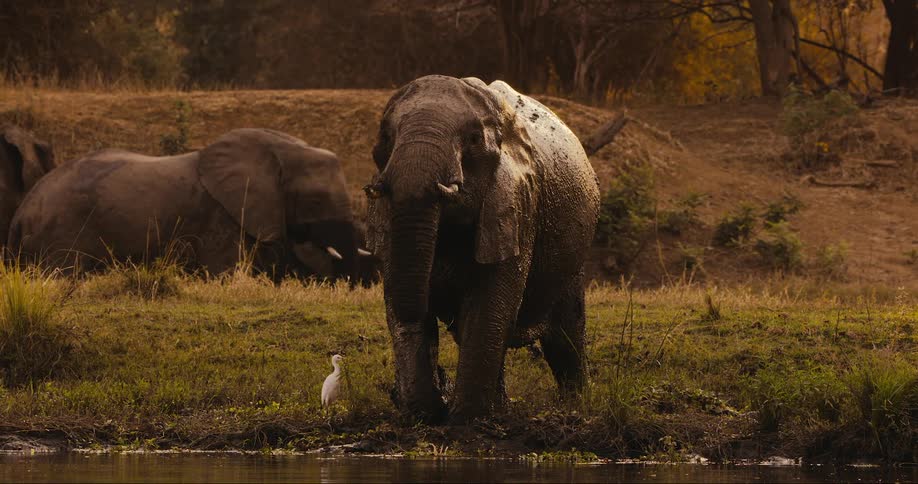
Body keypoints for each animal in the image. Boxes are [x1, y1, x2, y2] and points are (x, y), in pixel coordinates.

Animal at [9, 128, 368, 282]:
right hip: (62, 233)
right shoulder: (217, 217)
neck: (278, 149)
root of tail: (21, 212)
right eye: (316, 200)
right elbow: (224, 271)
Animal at [365, 75, 600, 422]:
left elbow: (487, 305)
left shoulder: (516, 201)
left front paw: (466, 418)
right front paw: (424, 415)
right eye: (385, 137)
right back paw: (500, 408)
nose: (441, 383)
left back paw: (574, 406)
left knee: (565, 335)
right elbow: (401, 302)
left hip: (573, 257)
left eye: (474, 140)